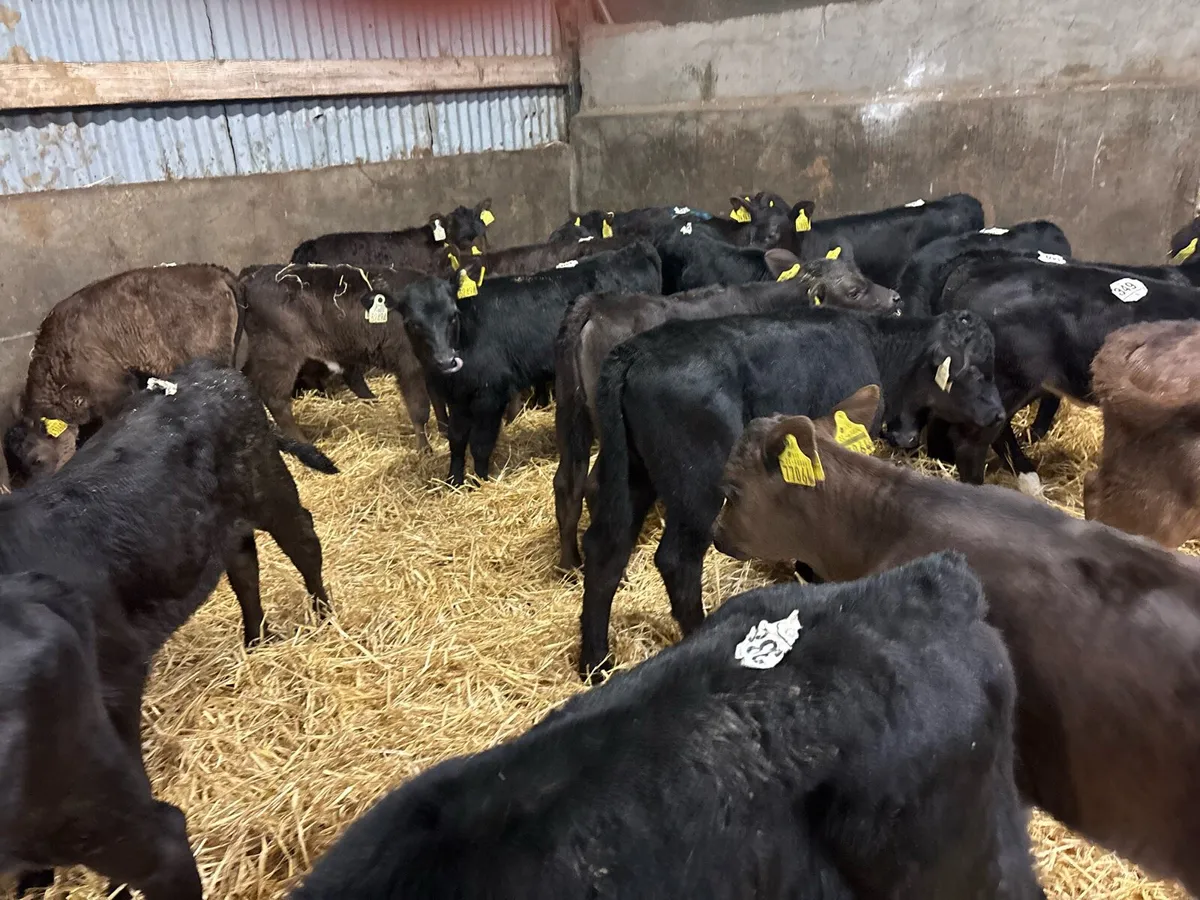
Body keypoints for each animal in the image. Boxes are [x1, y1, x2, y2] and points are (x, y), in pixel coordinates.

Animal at [240, 263, 453, 453]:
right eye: (414, 322)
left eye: (452, 316)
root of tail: (253, 274)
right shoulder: (409, 365)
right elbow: (419, 409)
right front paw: (425, 449)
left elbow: (438, 399)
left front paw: (444, 430)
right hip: (279, 357)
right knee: (276, 401)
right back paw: (304, 444)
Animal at [374, 241, 663, 486]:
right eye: (412, 323)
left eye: (453, 315)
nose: (446, 361)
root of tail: (632, 249)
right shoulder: (457, 398)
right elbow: (456, 440)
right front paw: (453, 481)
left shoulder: (490, 394)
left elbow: (480, 443)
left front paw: (480, 482)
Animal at [553, 252, 899, 569]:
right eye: (854, 291)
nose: (895, 297)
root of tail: (598, 303)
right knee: (595, 486)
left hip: (573, 416)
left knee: (567, 482)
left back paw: (570, 563)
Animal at [577, 306, 1004, 679]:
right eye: (975, 370)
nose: (999, 414)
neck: (878, 347)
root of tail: (634, 351)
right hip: (696, 484)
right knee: (677, 560)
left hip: (632, 475)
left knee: (605, 549)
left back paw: (595, 663)